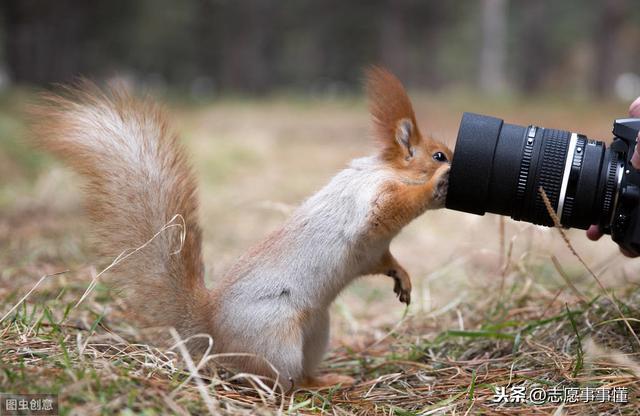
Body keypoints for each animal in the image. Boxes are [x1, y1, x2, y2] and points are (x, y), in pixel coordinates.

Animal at [28, 67, 450, 390]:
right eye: (438, 154)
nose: (448, 162)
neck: (388, 171)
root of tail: (211, 326)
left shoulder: (373, 250)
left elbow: (384, 260)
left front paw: (402, 277)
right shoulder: (371, 204)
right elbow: (389, 208)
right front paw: (436, 183)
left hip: (316, 331)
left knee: (300, 372)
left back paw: (329, 379)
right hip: (277, 339)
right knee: (283, 382)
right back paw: (310, 387)